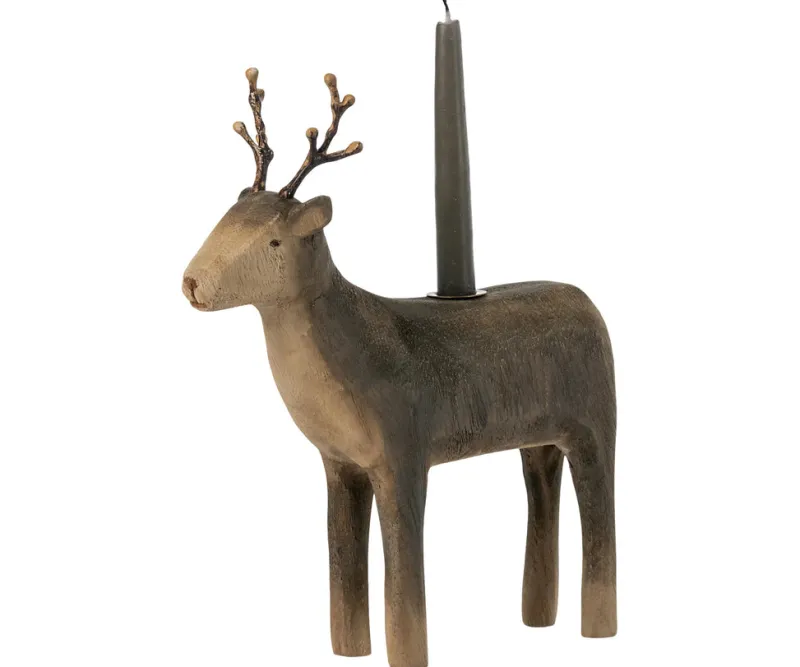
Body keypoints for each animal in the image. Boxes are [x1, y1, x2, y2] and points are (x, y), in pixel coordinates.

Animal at [182, 68, 617, 667]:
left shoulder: (404, 451)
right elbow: (342, 566)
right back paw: (536, 620)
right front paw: (349, 649)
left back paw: (598, 632)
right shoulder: (339, 463)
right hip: (537, 435)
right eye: (221, 221)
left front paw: (409, 652)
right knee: (542, 489)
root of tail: (592, 306)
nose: (192, 283)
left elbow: (404, 580)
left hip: (596, 421)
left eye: (272, 240)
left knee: (602, 514)